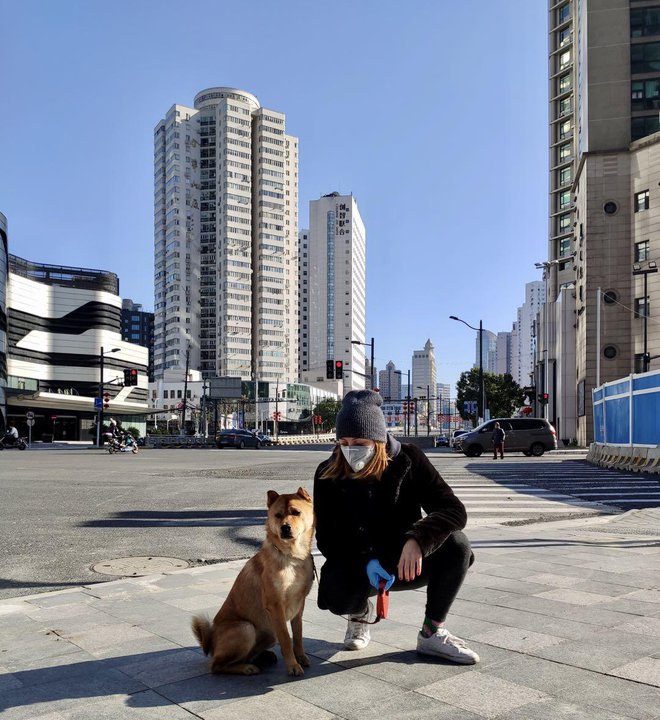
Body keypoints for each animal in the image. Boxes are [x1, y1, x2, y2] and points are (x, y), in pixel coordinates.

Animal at [191, 486, 314, 676]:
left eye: (296, 512)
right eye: (278, 515)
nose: (285, 528)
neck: (292, 558)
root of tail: (210, 643)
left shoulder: (299, 604)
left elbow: (298, 635)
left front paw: (300, 657)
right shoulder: (275, 606)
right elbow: (286, 639)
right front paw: (293, 665)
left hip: (268, 634)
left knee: (244, 656)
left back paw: (262, 657)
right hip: (246, 629)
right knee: (216, 666)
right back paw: (246, 668)